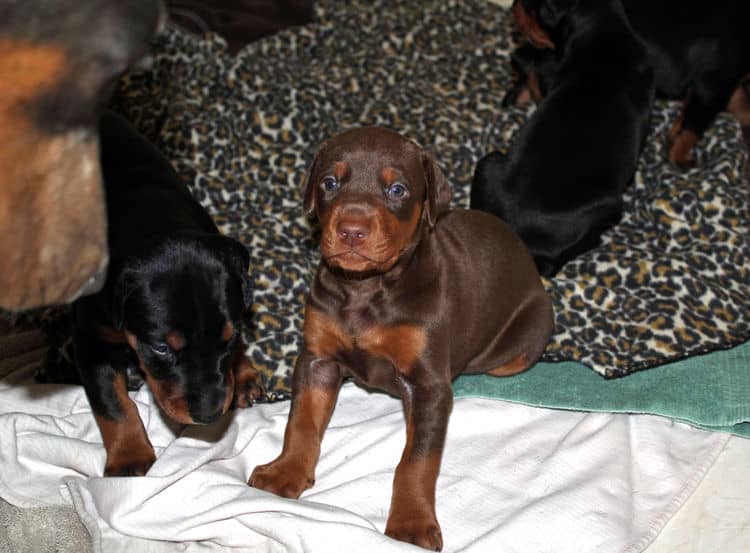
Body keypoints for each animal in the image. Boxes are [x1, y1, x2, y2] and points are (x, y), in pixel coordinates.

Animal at [71, 111, 264, 474]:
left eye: (229, 338)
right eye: (161, 348)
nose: (209, 415)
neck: (152, 220)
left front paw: (242, 372)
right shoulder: (91, 341)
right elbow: (112, 403)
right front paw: (130, 457)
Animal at [250, 127, 556, 548]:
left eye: (397, 189)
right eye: (330, 183)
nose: (352, 230)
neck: (366, 288)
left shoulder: (428, 386)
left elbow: (417, 460)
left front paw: (412, 522)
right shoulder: (316, 360)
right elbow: (302, 421)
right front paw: (286, 472)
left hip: (526, 339)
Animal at [506, 0, 750, 166]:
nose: (515, 6)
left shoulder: (725, 84)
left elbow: (740, 103)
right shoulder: (712, 88)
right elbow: (691, 130)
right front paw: (679, 158)